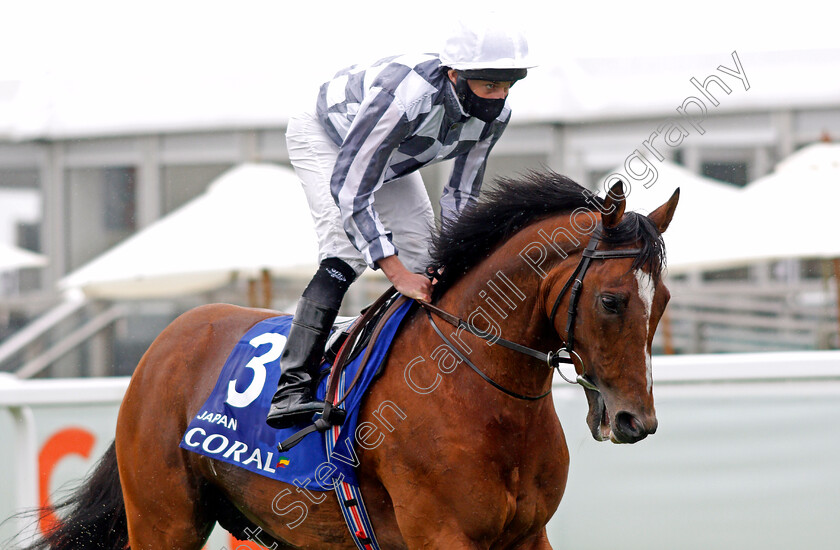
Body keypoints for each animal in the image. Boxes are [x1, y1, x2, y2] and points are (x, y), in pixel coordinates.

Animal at [23, 170, 680, 548]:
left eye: (665, 300)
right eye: (613, 300)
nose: (635, 421)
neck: (480, 397)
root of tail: (163, 344)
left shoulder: (526, 535)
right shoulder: (443, 536)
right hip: (164, 521)